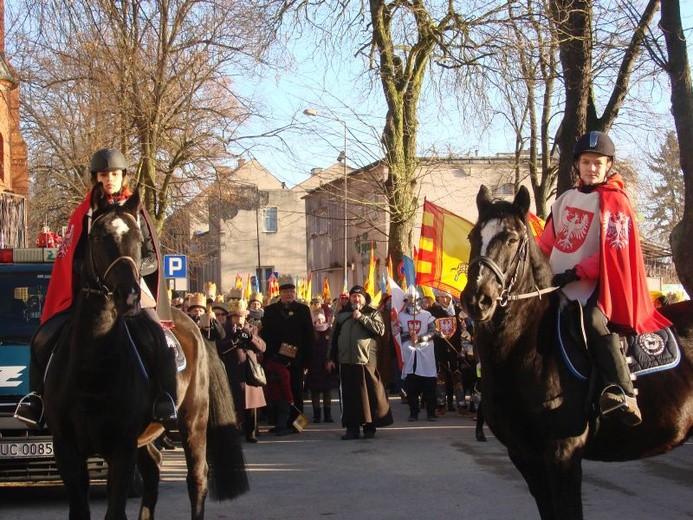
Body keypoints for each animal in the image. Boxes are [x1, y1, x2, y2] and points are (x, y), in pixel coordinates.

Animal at [43, 188, 249, 520]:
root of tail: (195, 326)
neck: (93, 365)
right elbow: (80, 510)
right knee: (153, 469)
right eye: (98, 236)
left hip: (193, 420)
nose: (129, 296)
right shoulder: (66, 450)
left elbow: (115, 511)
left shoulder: (121, 447)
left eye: (139, 239)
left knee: (197, 477)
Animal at [460, 186, 692, 520]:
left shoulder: (563, 451)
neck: (527, 353)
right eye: (472, 236)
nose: (477, 299)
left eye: (512, 238)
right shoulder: (524, 454)